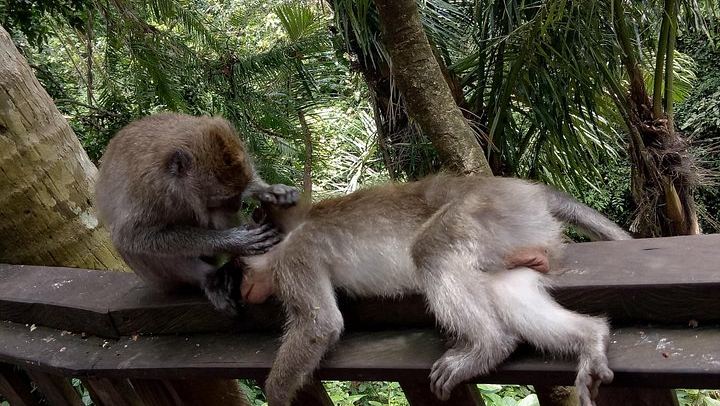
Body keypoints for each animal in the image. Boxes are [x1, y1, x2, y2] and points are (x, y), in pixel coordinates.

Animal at [94, 113, 298, 314]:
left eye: (240, 192)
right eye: (224, 198)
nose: (237, 205)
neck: (176, 188)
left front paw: (270, 190)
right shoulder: (147, 190)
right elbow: (132, 236)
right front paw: (236, 241)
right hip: (163, 283)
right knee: (128, 245)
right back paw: (210, 277)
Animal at [236, 174, 630, 406]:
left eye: (238, 268)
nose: (241, 288)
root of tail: (529, 191)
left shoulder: (295, 258)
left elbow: (319, 325)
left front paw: (276, 396)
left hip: (487, 211)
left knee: (431, 250)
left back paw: (488, 346)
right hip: (519, 234)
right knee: (507, 286)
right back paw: (590, 338)